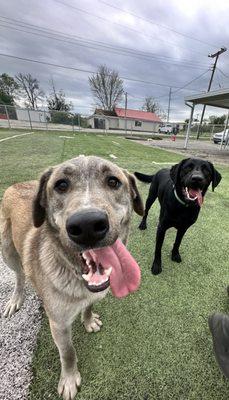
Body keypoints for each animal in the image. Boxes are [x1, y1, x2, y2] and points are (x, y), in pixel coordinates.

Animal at [0, 155, 143, 396]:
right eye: (61, 185)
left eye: (113, 181)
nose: (88, 225)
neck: (75, 276)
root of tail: (16, 184)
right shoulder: (58, 324)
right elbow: (68, 352)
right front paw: (68, 379)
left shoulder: (91, 295)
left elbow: (89, 306)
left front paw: (89, 320)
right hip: (7, 250)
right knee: (20, 275)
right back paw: (16, 299)